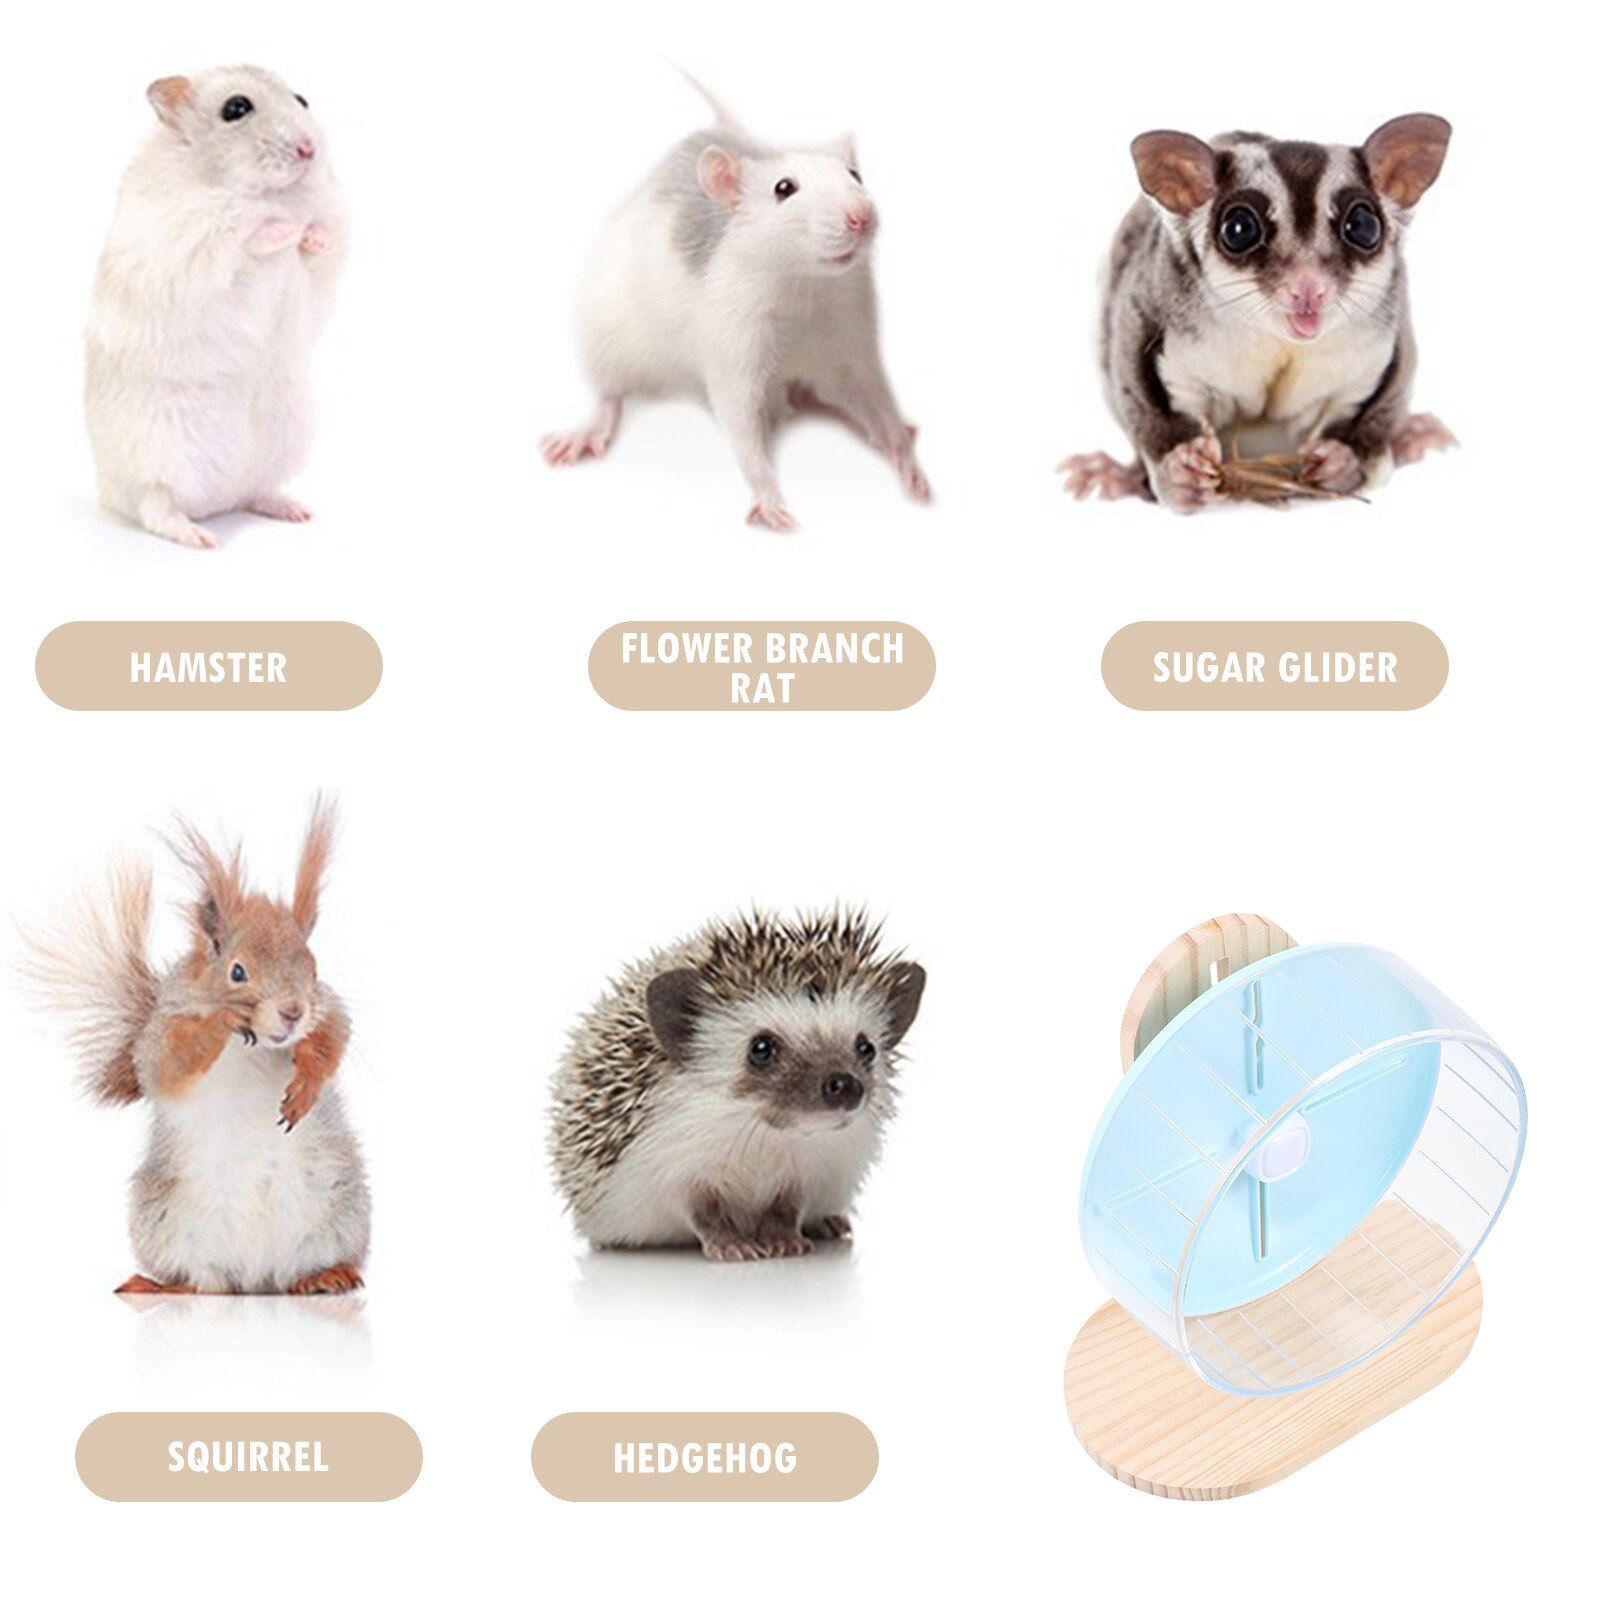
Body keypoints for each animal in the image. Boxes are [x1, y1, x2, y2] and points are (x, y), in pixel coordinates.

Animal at [85, 66, 347, 549]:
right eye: (236, 108)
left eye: (302, 99)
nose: (309, 149)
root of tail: (216, 503)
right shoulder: (186, 237)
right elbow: (241, 236)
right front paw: (283, 227)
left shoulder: (332, 236)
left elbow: (322, 242)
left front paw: (309, 235)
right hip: (160, 446)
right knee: (155, 505)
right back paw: (200, 538)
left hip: (289, 435)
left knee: (256, 490)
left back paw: (295, 511)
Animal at [542, 79, 930, 530]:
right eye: (784, 188)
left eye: (855, 176)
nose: (860, 216)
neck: (804, 287)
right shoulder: (735, 333)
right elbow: (738, 412)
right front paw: (769, 495)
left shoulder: (850, 327)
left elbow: (871, 391)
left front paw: (905, 457)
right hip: (605, 336)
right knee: (610, 393)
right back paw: (588, 429)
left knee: (817, 397)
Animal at [1060, 115, 1455, 511]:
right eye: (1239, 229)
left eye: (1362, 226)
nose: (1308, 288)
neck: (1280, 340)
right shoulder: (1151, 303)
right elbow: (1142, 385)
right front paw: (1181, 469)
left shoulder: (1385, 333)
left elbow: (1380, 398)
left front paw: (1342, 460)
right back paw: (1115, 475)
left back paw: (1412, 437)